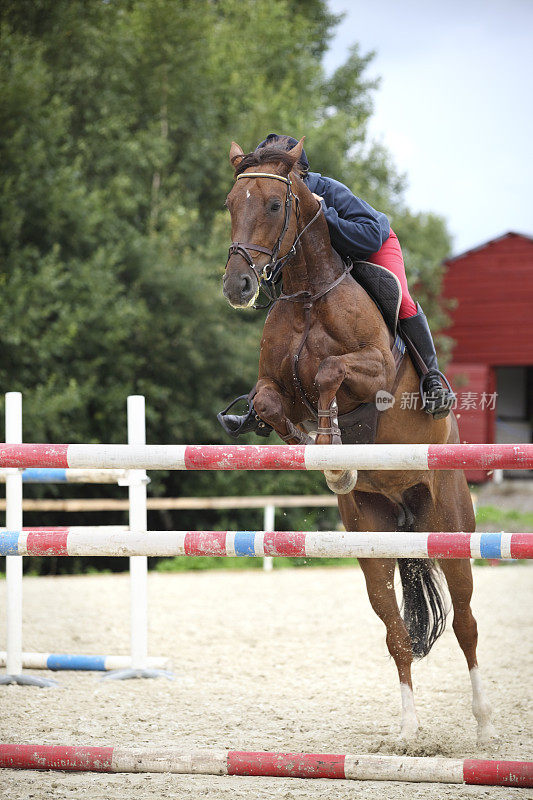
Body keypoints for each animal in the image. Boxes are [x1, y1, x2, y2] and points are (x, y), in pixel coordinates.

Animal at [220, 138, 494, 744]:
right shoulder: (271, 384)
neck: (306, 293)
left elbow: (329, 372)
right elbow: (271, 404)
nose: (237, 286)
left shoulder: (374, 370)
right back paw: (410, 730)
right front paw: (318, 448)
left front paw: (333, 446)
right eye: (229, 204)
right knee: (396, 633)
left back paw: (485, 724)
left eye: (275, 205)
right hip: (372, 534)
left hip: (451, 525)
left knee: (466, 623)